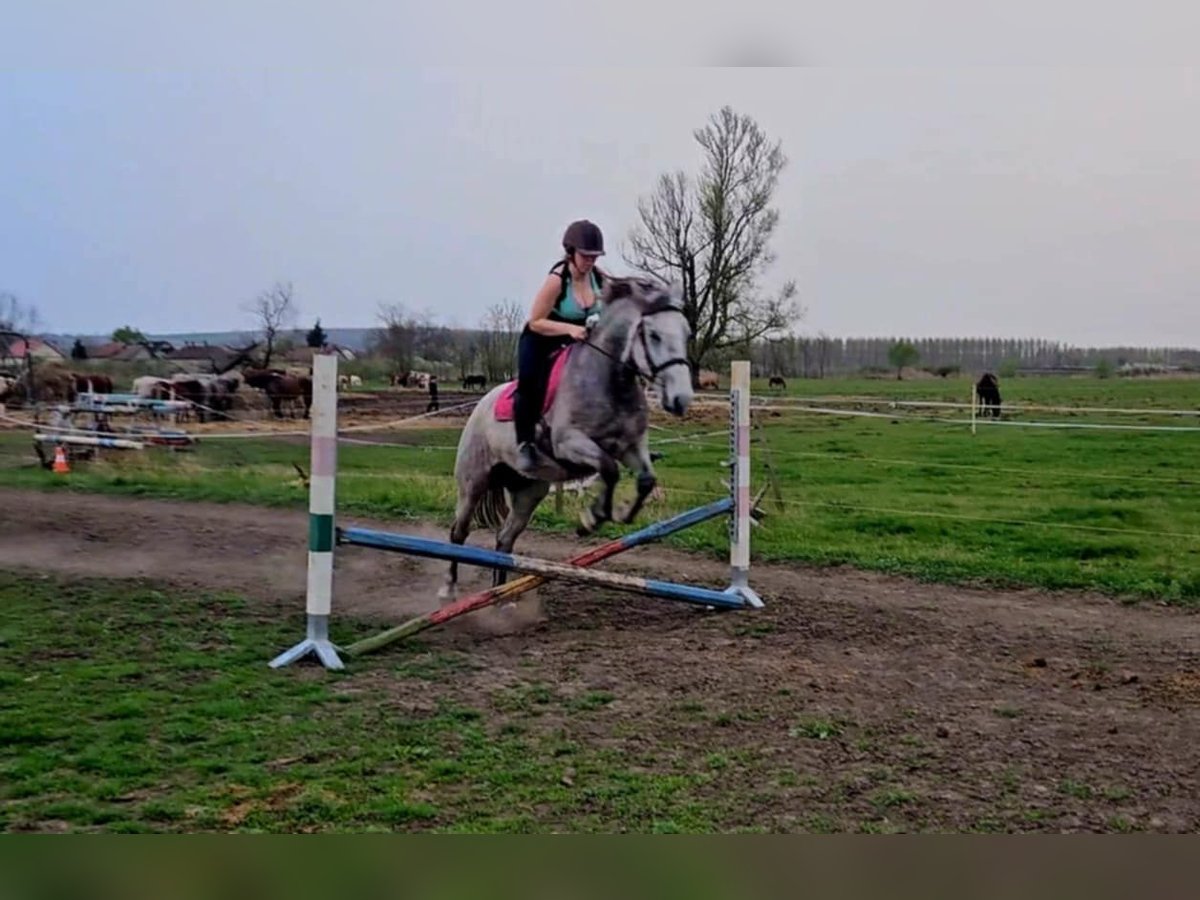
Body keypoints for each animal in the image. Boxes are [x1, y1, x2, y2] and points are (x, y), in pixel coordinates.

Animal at [444, 274, 696, 600]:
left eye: (687, 333)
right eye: (653, 335)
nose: (681, 399)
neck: (609, 380)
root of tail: (480, 405)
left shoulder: (631, 446)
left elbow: (645, 479)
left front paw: (621, 515)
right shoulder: (570, 444)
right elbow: (609, 469)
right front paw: (592, 518)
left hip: (528, 490)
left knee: (505, 538)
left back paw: (500, 598)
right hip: (473, 482)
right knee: (459, 531)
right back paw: (449, 589)